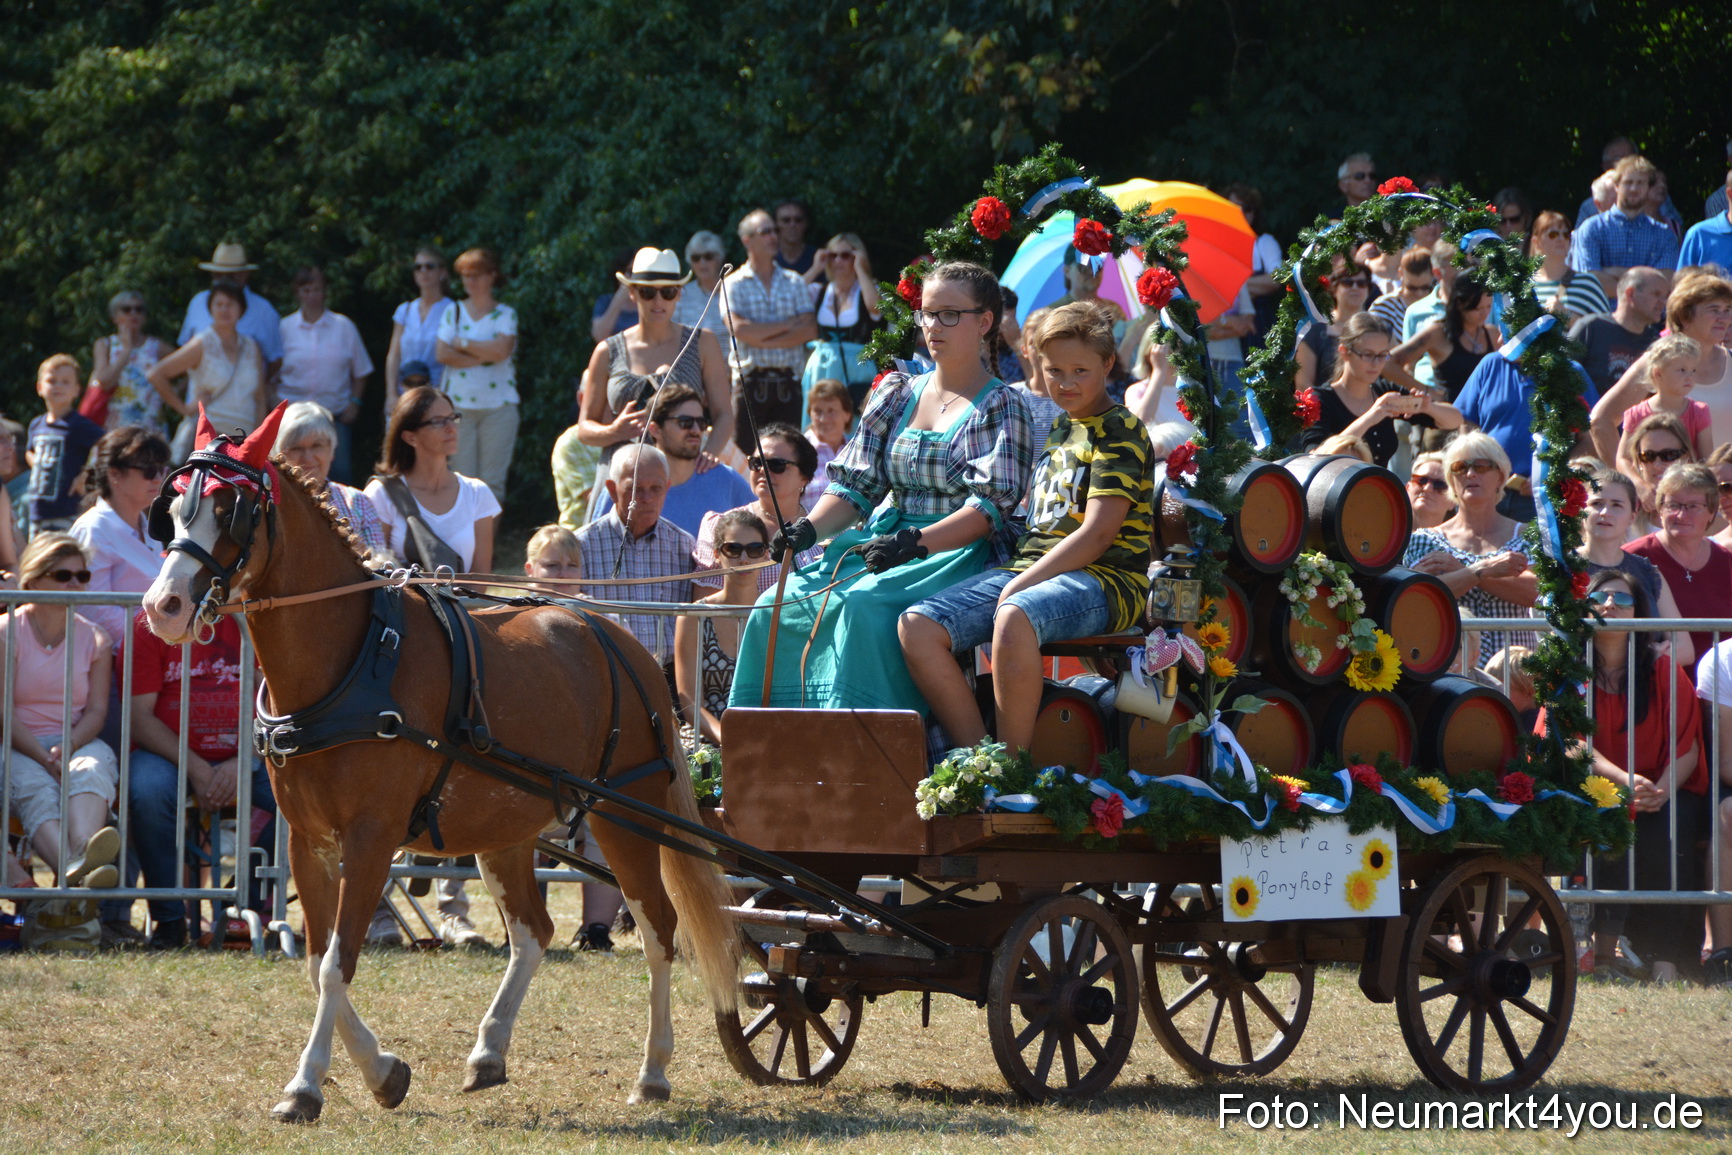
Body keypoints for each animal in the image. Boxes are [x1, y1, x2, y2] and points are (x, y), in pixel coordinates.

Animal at [141, 407, 738, 1122]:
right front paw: (383, 1072)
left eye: (232, 511)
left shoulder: (371, 839)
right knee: (533, 931)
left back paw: (651, 1072)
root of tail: (624, 641)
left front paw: (306, 1086)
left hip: (625, 816)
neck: (354, 661)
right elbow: (316, 961)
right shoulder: (311, 841)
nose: (162, 607)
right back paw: (489, 1053)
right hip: (504, 829)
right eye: (173, 508)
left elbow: (338, 960)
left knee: (658, 929)